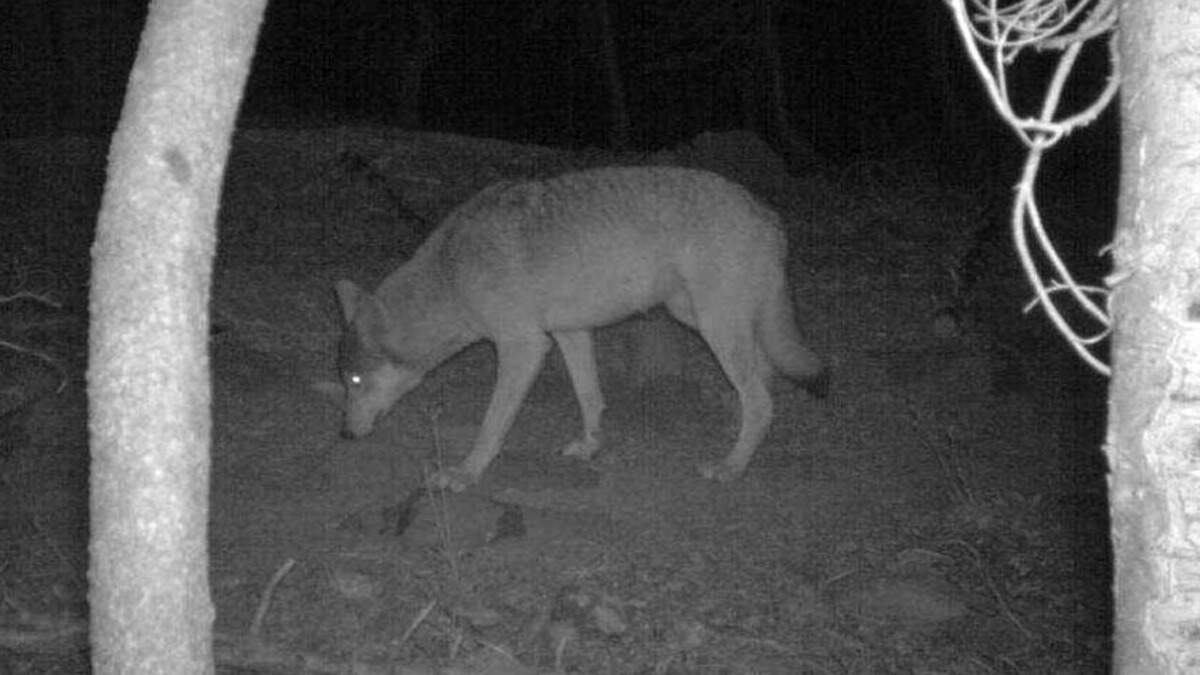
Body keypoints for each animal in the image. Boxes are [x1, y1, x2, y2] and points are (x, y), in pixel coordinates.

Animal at [330, 166, 827, 491]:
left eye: (353, 379)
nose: (345, 436)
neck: (452, 273)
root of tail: (767, 213)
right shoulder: (570, 333)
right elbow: (590, 397)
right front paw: (590, 446)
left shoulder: (524, 347)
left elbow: (492, 424)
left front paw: (465, 474)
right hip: (700, 317)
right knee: (764, 381)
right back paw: (737, 437)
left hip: (713, 325)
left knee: (760, 399)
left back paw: (731, 467)